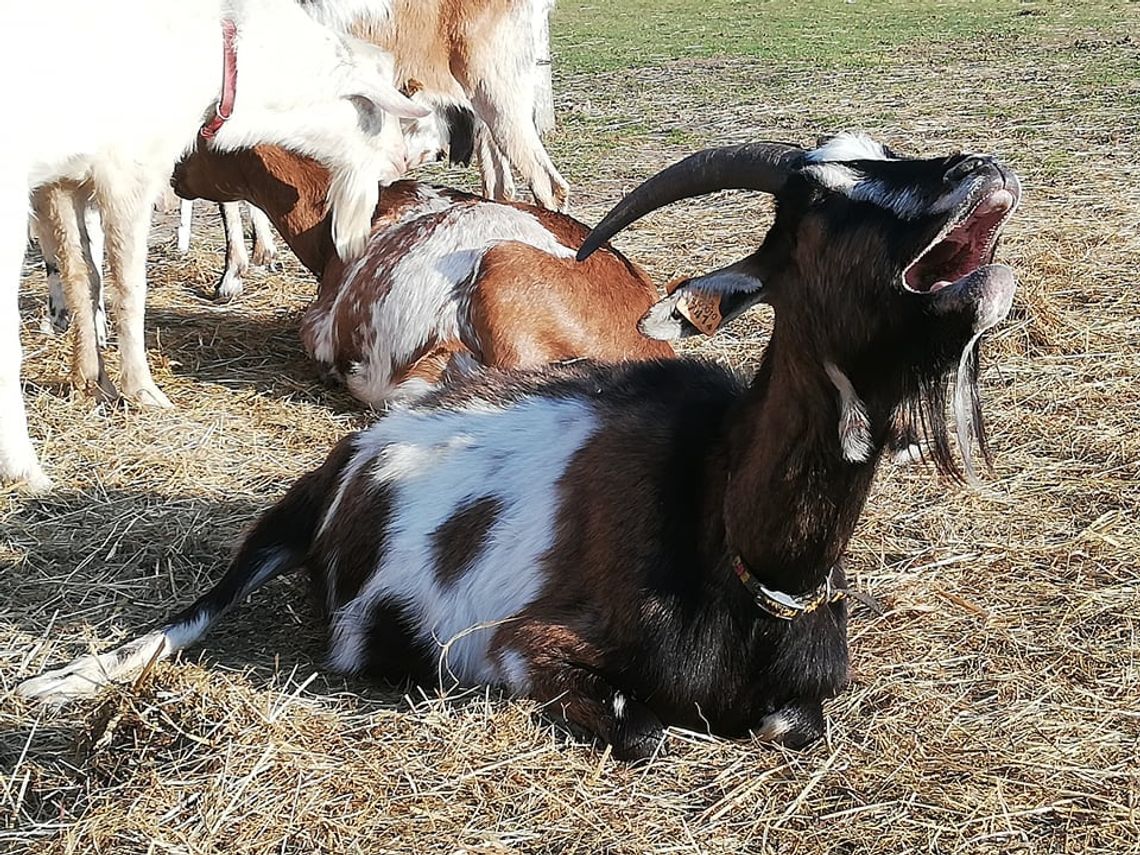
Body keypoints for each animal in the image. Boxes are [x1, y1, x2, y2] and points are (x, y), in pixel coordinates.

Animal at [3, 0, 428, 492]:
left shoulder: (63, 179)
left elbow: (82, 277)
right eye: (374, 111)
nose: (401, 161)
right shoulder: (128, 171)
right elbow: (129, 287)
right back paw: (26, 468)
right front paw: (141, 388)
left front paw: (92, 381)